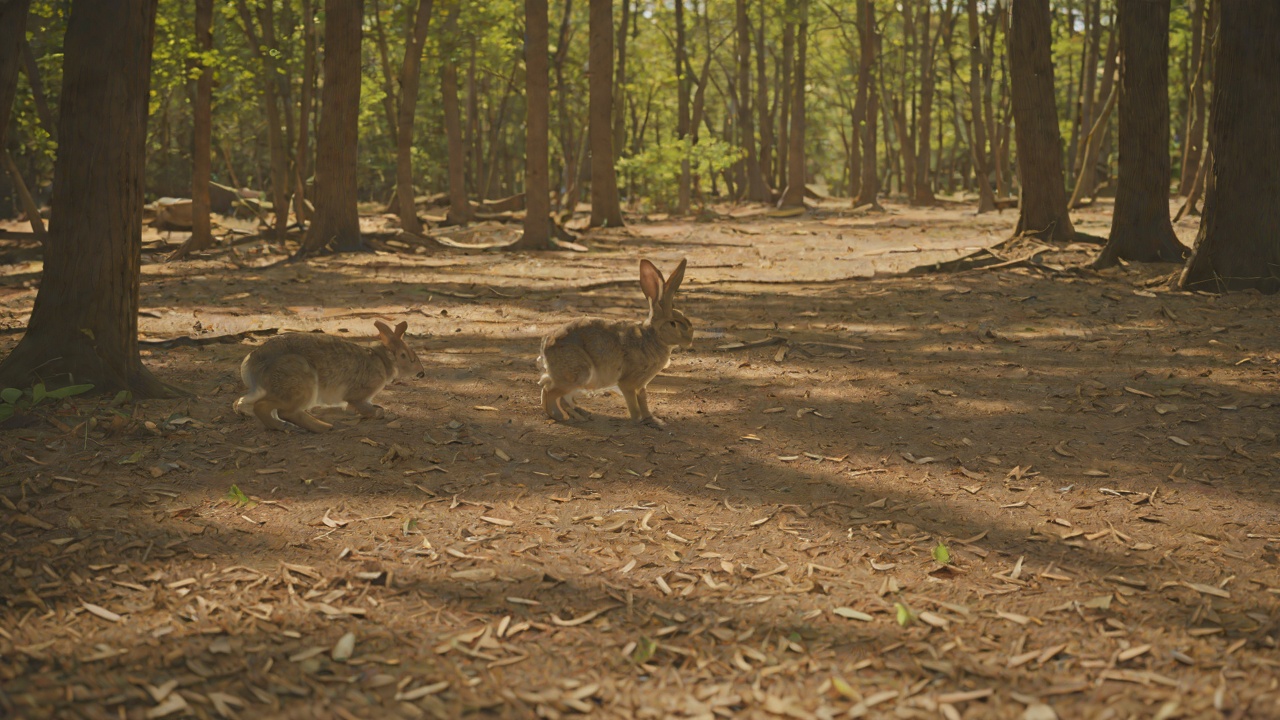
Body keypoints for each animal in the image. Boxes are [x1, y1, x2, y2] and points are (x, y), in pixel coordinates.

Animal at [233, 320, 425, 432]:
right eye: (406, 356)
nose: (422, 373)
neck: (383, 360)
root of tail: (252, 366)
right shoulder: (357, 396)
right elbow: (369, 409)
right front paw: (379, 413)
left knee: (243, 403)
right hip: (302, 386)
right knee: (275, 409)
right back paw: (320, 427)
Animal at [538, 258, 693, 427]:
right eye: (673, 323)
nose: (690, 338)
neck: (653, 336)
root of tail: (546, 346)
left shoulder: (642, 385)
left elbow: (643, 400)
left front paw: (653, 419)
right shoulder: (628, 382)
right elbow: (633, 402)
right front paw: (637, 420)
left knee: (556, 393)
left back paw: (580, 415)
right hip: (577, 375)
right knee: (548, 391)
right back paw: (561, 416)